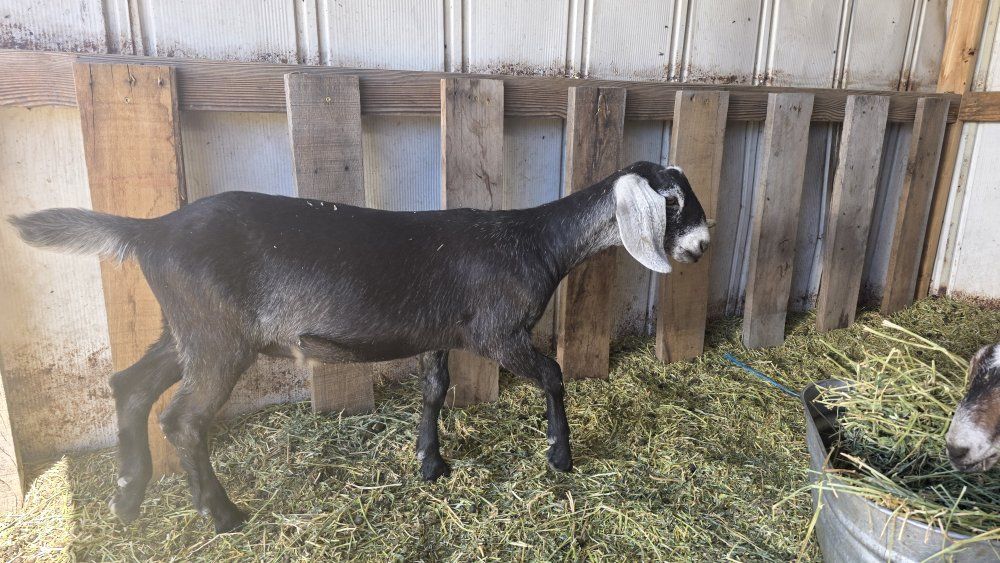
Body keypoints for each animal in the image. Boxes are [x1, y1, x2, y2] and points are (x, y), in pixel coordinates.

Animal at [9, 161, 709, 533]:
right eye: (673, 200)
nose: (702, 248)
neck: (536, 241)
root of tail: (149, 232)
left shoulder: (441, 334)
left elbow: (435, 391)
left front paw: (430, 463)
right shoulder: (499, 333)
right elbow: (555, 375)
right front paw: (561, 456)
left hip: (185, 327)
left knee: (127, 384)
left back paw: (127, 494)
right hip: (216, 336)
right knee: (182, 417)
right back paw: (222, 514)